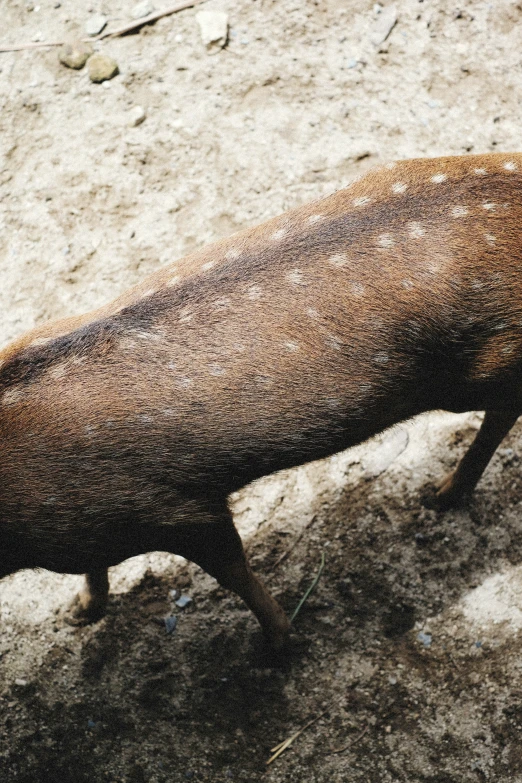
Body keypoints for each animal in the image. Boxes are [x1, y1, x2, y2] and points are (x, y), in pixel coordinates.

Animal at [1, 155, 520, 648]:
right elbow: (97, 568)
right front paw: (80, 610)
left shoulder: (174, 506)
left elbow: (234, 573)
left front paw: (278, 643)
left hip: (486, 364)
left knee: (504, 409)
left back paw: (444, 492)